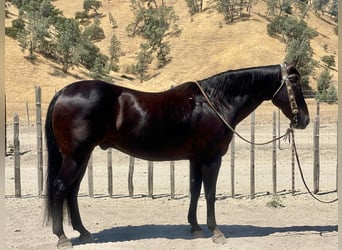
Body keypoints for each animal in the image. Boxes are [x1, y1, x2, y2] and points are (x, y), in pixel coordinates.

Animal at [44, 62, 310, 246]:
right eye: (294, 82)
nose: (305, 120)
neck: (215, 102)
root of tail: (62, 92)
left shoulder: (196, 158)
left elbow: (195, 190)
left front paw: (195, 227)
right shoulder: (212, 158)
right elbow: (210, 193)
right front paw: (216, 232)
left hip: (82, 156)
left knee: (72, 191)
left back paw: (84, 233)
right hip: (75, 156)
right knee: (60, 187)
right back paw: (62, 237)